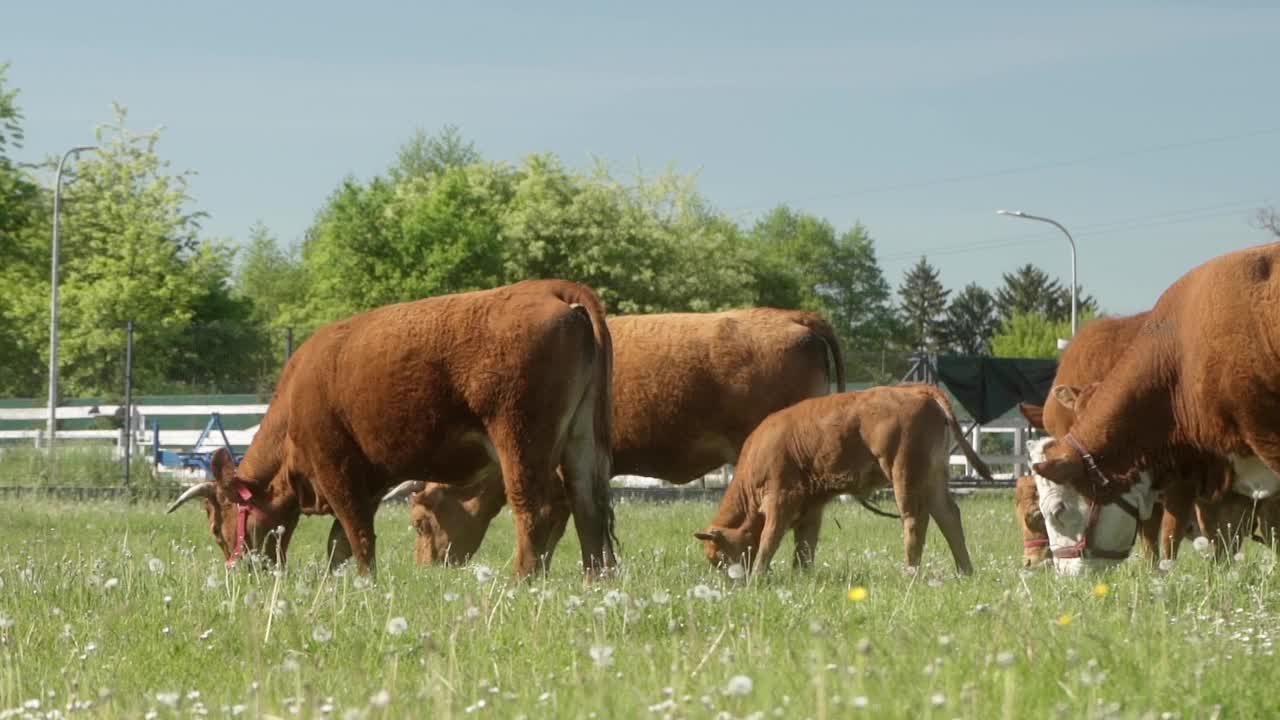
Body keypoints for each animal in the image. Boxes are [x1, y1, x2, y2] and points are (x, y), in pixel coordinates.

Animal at [167, 278, 616, 573]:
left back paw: (521, 580)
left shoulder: (336, 468)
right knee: (589, 508)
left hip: (520, 439)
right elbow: (340, 542)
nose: (244, 571)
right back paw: (596, 580)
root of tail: (547, 288)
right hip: (581, 442)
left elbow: (357, 535)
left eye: (216, 527)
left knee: (534, 510)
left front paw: (366, 581)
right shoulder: (369, 480)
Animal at [691, 381, 988, 571]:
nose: (733, 583)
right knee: (948, 516)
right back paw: (965, 571)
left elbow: (769, 539)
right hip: (933, 477)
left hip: (905, 474)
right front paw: (801, 576)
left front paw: (757, 577)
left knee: (916, 520)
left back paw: (911, 572)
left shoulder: (781, 499)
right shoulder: (811, 506)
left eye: (719, 558)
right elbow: (804, 546)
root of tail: (918, 390)